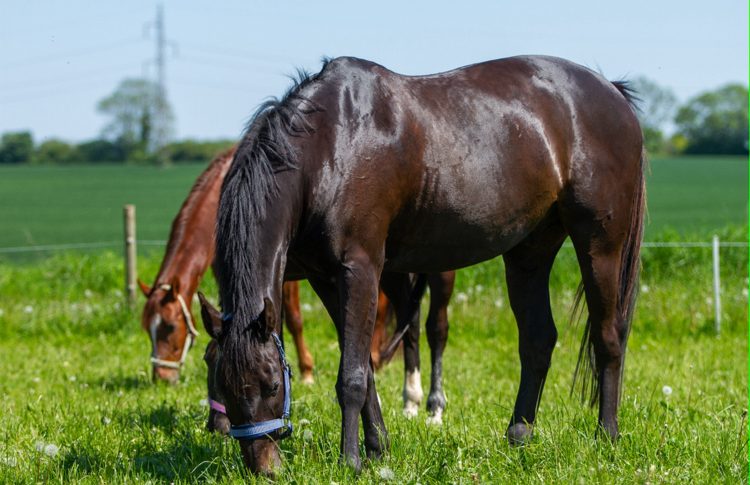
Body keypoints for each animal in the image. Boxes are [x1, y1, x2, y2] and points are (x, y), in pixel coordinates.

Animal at [200, 54, 648, 472]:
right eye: (219, 379)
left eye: (272, 384)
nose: (264, 467)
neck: (329, 146)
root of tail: (612, 91)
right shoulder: (324, 279)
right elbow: (365, 365)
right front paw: (378, 447)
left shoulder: (360, 268)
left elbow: (352, 375)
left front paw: (351, 460)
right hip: (529, 253)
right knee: (538, 339)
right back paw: (519, 435)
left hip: (601, 245)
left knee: (609, 336)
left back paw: (607, 435)